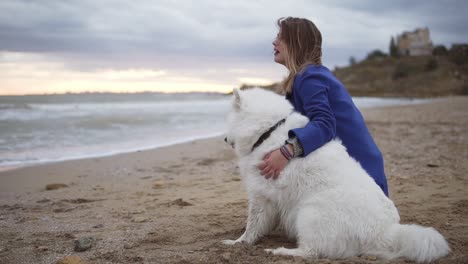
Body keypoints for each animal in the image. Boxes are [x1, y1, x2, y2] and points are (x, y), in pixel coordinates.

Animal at [223, 88, 450, 262]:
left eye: (229, 121)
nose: (224, 139)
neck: (269, 130)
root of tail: (384, 232)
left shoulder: (260, 194)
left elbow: (252, 225)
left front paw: (238, 242)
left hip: (310, 213)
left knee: (311, 251)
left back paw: (281, 251)